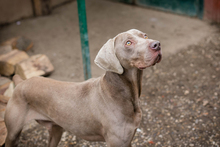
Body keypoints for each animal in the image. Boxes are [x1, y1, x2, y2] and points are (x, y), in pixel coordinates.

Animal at [3, 28, 162, 146]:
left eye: (145, 35)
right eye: (128, 43)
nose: (157, 44)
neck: (122, 93)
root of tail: (20, 82)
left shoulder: (128, 139)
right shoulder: (117, 141)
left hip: (56, 130)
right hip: (13, 134)